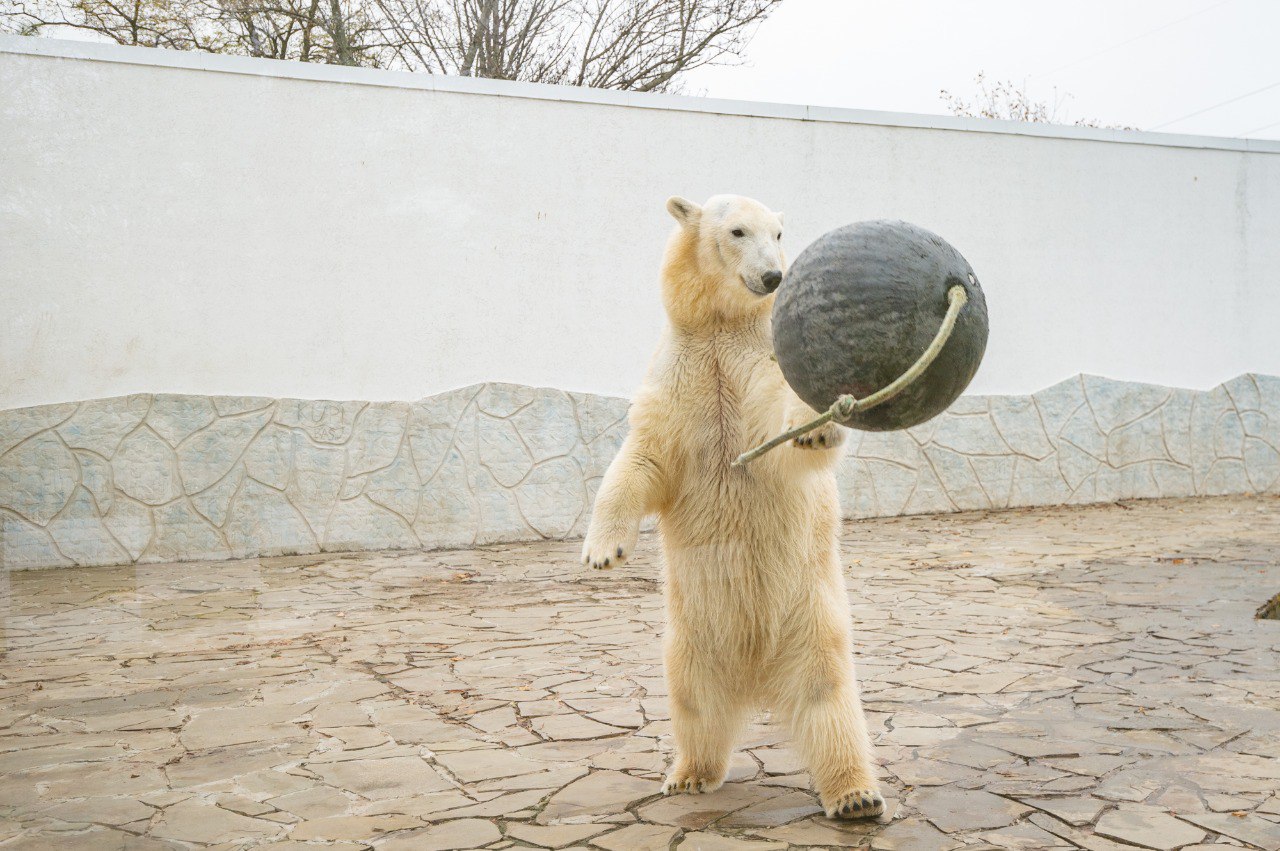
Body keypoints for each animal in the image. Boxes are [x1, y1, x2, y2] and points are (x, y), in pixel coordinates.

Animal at [586, 191, 885, 819]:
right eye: (738, 232)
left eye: (780, 233)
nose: (773, 277)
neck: (722, 326)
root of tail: (758, 677)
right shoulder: (682, 371)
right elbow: (646, 456)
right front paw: (603, 551)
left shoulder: (758, 360)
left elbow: (777, 427)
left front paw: (819, 427)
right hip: (691, 634)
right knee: (693, 700)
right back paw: (689, 774)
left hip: (810, 618)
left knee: (829, 697)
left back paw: (854, 795)